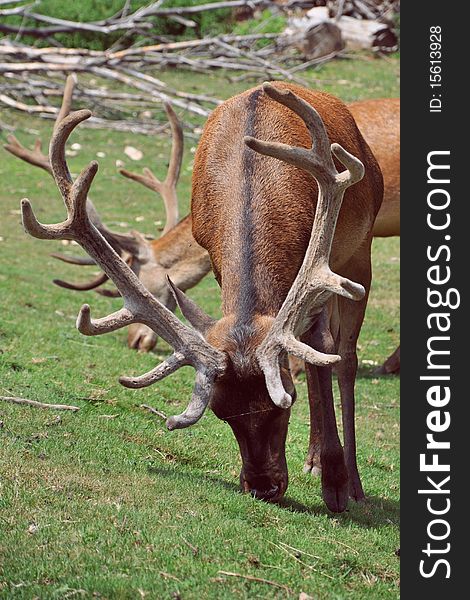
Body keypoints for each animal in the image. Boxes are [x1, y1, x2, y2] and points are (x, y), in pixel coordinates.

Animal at [20, 82, 384, 512]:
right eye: (221, 411)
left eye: (284, 401)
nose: (263, 487)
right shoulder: (215, 260)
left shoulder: (316, 264)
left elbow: (321, 353)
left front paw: (336, 483)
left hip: (358, 250)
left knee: (343, 356)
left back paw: (350, 479)